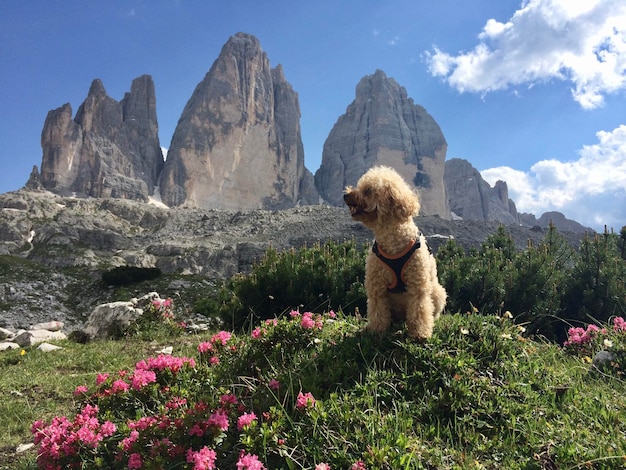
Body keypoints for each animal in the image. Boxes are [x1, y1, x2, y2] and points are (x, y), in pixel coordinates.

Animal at [342, 167, 444, 340]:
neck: (391, 240)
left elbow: (420, 310)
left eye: (368, 190)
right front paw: (376, 331)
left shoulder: (418, 286)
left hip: (438, 292)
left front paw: (420, 333)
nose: (345, 195)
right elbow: (377, 310)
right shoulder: (376, 286)